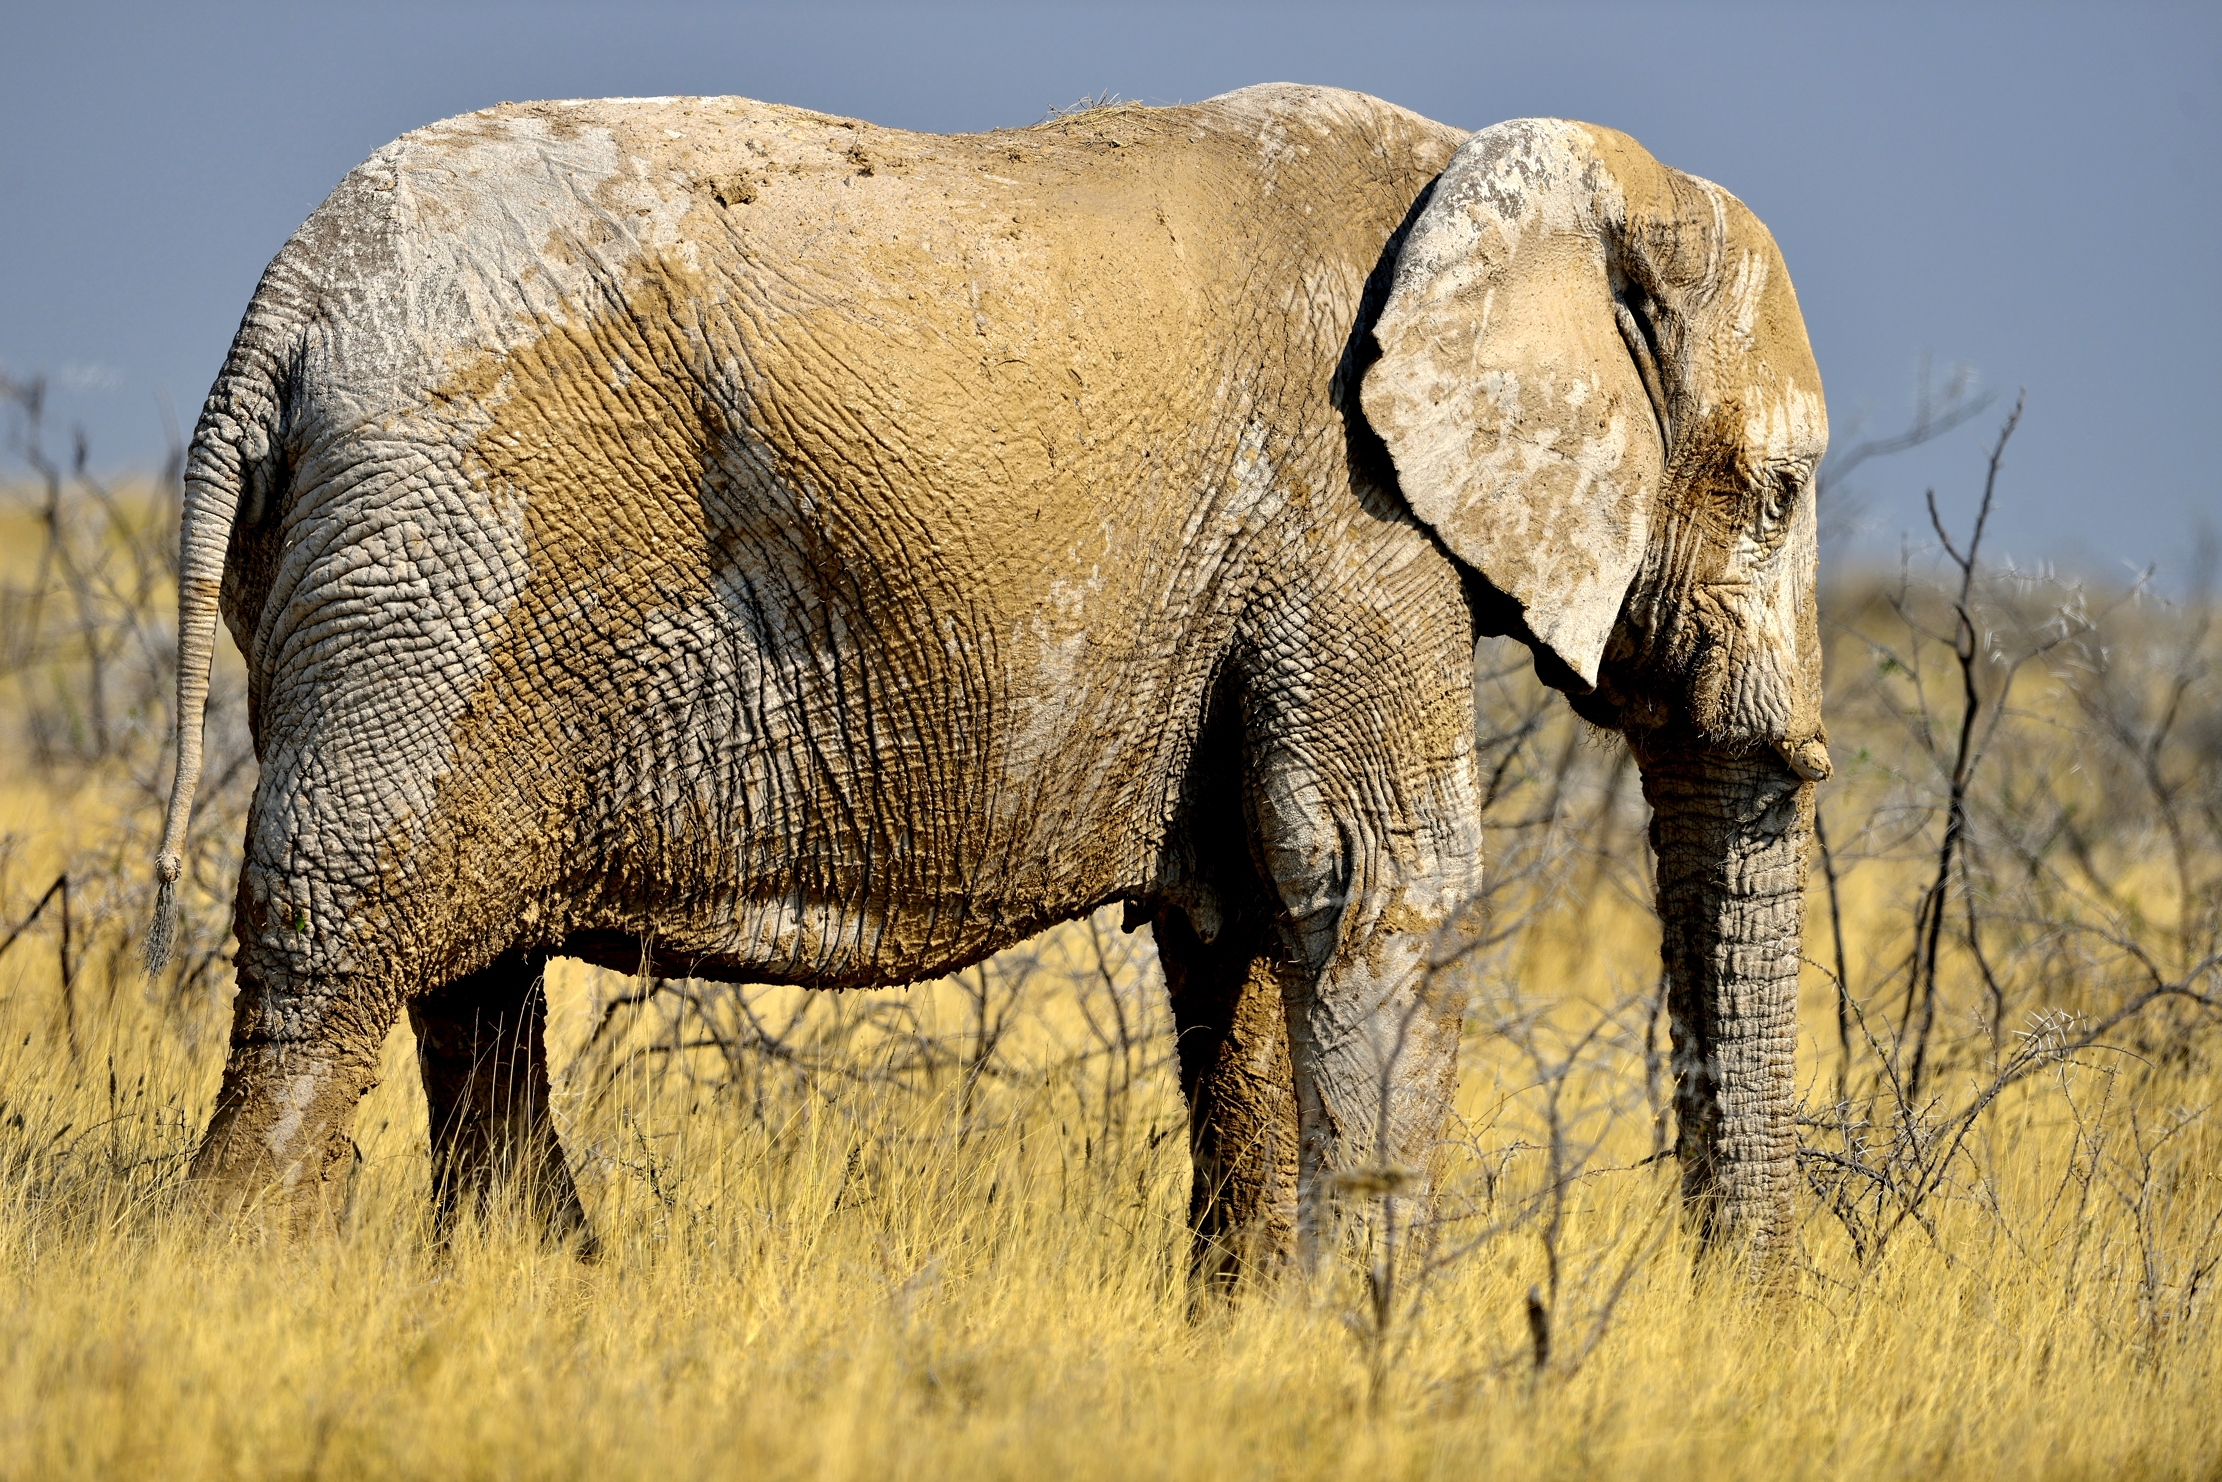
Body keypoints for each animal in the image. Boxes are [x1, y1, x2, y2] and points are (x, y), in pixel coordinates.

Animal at [147, 83, 1828, 1283]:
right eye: (1786, 488)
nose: (1723, 1303)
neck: (1500, 173)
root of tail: (273, 319)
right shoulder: (1346, 515)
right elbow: (1375, 878)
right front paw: (1367, 1336)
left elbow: (1241, 916)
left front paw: (1255, 1324)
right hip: (442, 545)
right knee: (350, 926)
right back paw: (244, 1281)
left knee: (473, 961)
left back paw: (530, 1283)